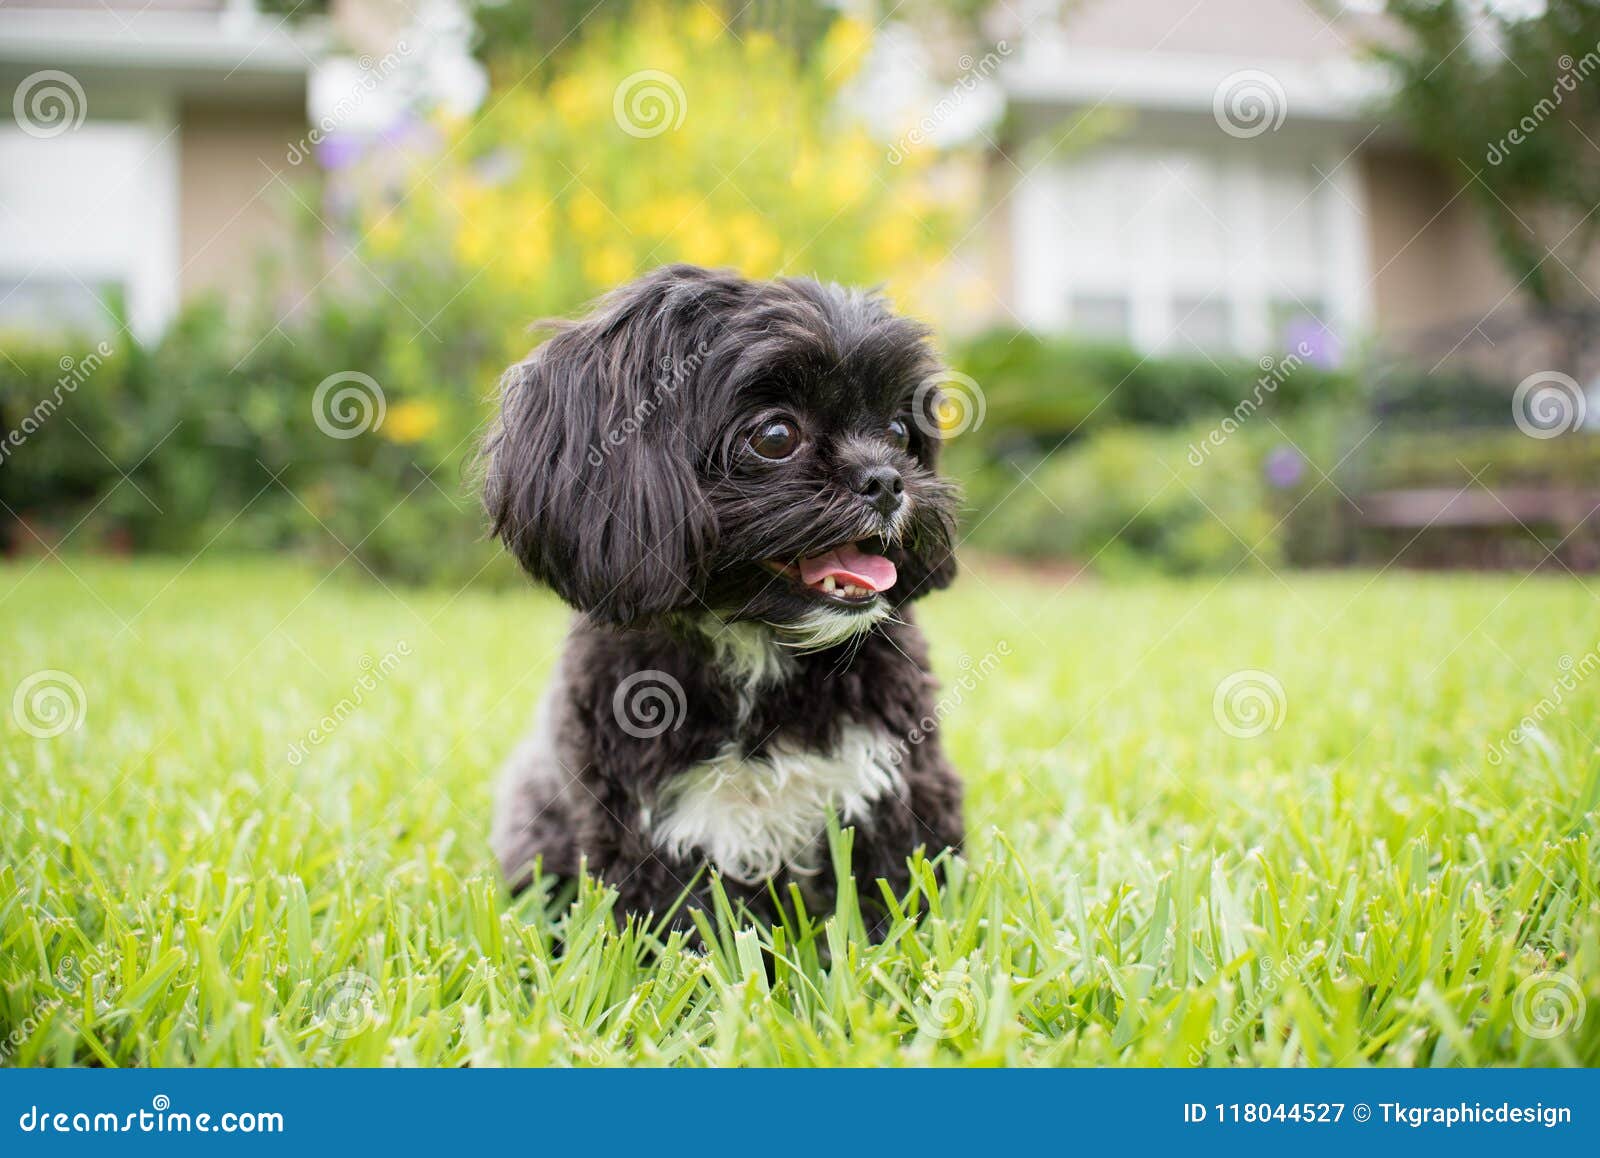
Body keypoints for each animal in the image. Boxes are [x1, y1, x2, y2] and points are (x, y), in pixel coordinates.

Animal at [480, 262, 960, 934]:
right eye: (776, 434)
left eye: (897, 429)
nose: (888, 480)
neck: (756, 639)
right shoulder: (653, 832)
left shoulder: (895, 791)